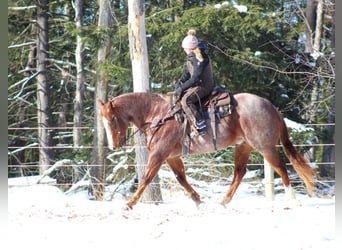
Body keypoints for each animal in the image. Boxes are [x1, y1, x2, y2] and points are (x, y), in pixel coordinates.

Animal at [97, 92, 316, 209]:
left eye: (112, 120)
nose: (113, 146)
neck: (159, 115)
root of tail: (271, 106)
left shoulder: (159, 154)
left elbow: (146, 178)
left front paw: (129, 204)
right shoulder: (171, 157)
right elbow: (181, 178)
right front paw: (198, 200)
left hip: (265, 146)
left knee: (281, 167)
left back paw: (293, 199)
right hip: (244, 146)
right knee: (239, 173)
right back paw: (224, 201)